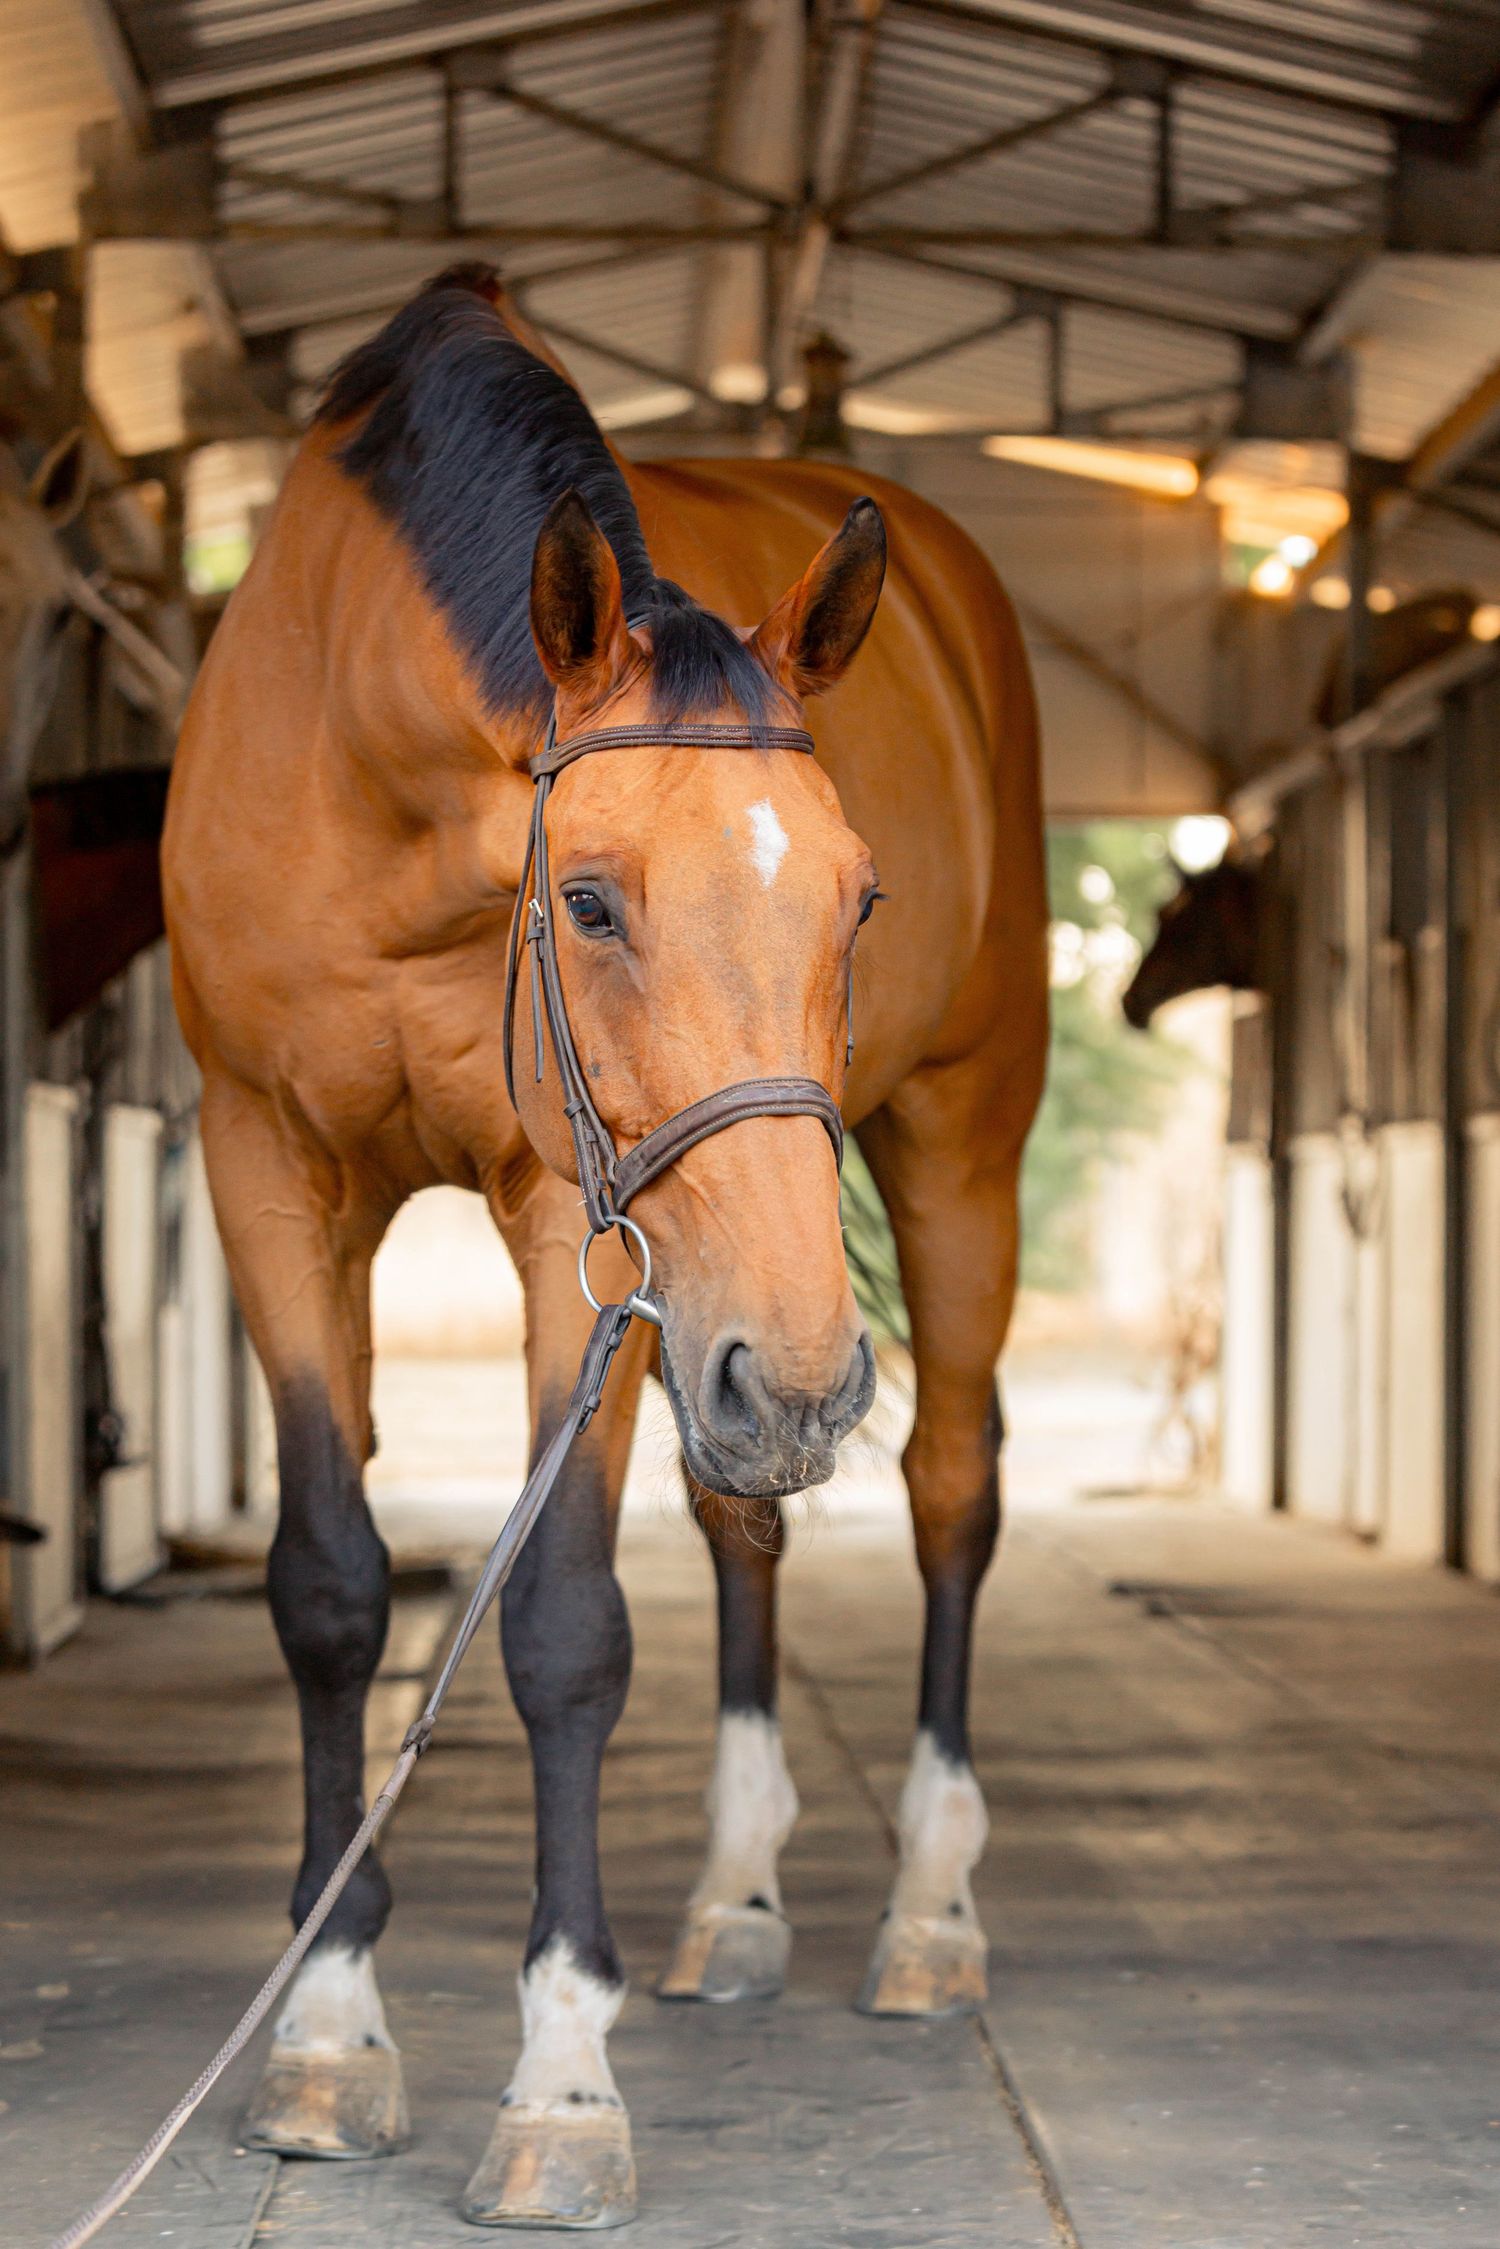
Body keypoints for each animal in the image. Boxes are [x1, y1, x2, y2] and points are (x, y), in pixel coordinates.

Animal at [163, 265, 1047, 2230]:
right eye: (589, 899)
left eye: (861, 896)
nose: (807, 1376)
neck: (368, 770)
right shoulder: (267, 1163)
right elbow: (328, 1587)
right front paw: (325, 2032)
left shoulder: (575, 1213)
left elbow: (565, 1623)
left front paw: (563, 2075)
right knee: (745, 1517)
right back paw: (737, 1898)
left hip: (941, 1159)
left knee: (952, 1489)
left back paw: (933, 1912)